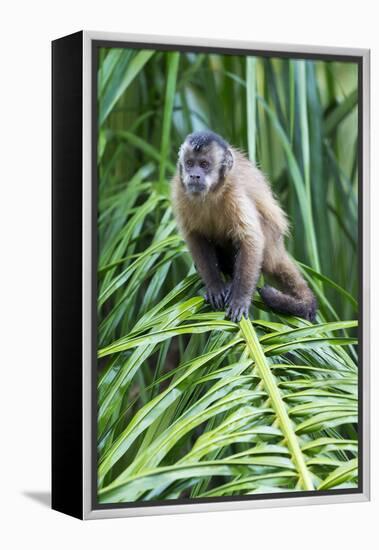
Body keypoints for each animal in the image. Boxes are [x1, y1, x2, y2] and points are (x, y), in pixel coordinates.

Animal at [172, 132, 318, 326]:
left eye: (204, 164)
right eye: (189, 163)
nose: (194, 175)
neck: (211, 193)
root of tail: (277, 250)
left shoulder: (235, 194)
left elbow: (250, 240)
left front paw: (240, 298)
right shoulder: (180, 192)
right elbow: (195, 237)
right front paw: (214, 286)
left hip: (268, 249)